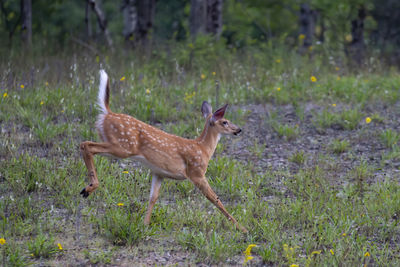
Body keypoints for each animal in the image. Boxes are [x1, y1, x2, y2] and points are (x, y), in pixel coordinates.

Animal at [79, 70, 247, 233]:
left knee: (86, 145)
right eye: (225, 122)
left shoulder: (158, 172)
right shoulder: (196, 172)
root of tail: (107, 113)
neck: (203, 148)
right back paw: (89, 188)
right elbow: (215, 199)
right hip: (122, 146)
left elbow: (153, 197)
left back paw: (87, 189)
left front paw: (145, 224)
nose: (238, 129)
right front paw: (242, 228)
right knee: (86, 144)